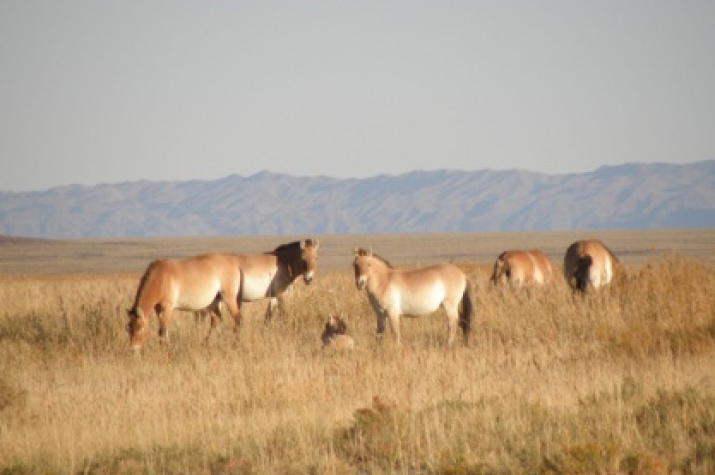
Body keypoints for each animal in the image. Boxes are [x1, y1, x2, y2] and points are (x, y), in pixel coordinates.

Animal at [127, 240, 320, 352]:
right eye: (304, 258)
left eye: (316, 257)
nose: (309, 278)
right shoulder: (279, 295)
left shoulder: (277, 296)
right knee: (227, 320)